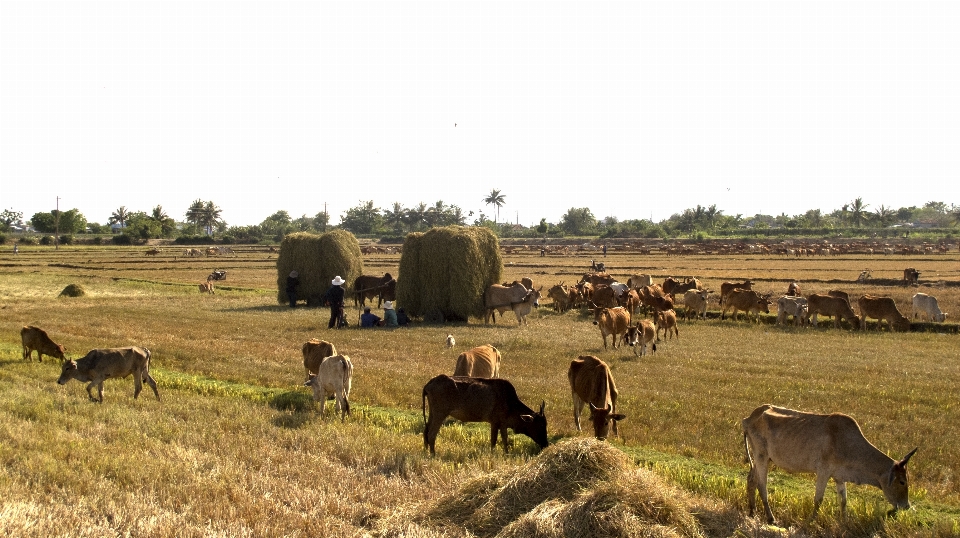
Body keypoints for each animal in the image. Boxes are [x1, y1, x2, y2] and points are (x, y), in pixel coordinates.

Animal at [744, 402, 916, 524]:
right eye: (902, 481)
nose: (906, 506)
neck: (849, 444)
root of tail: (749, 418)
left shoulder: (839, 477)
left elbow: (844, 501)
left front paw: (845, 522)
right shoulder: (823, 472)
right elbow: (818, 500)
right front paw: (810, 521)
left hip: (762, 458)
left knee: (751, 480)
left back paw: (752, 512)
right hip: (761, 456)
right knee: (762, 486)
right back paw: (770, 518)